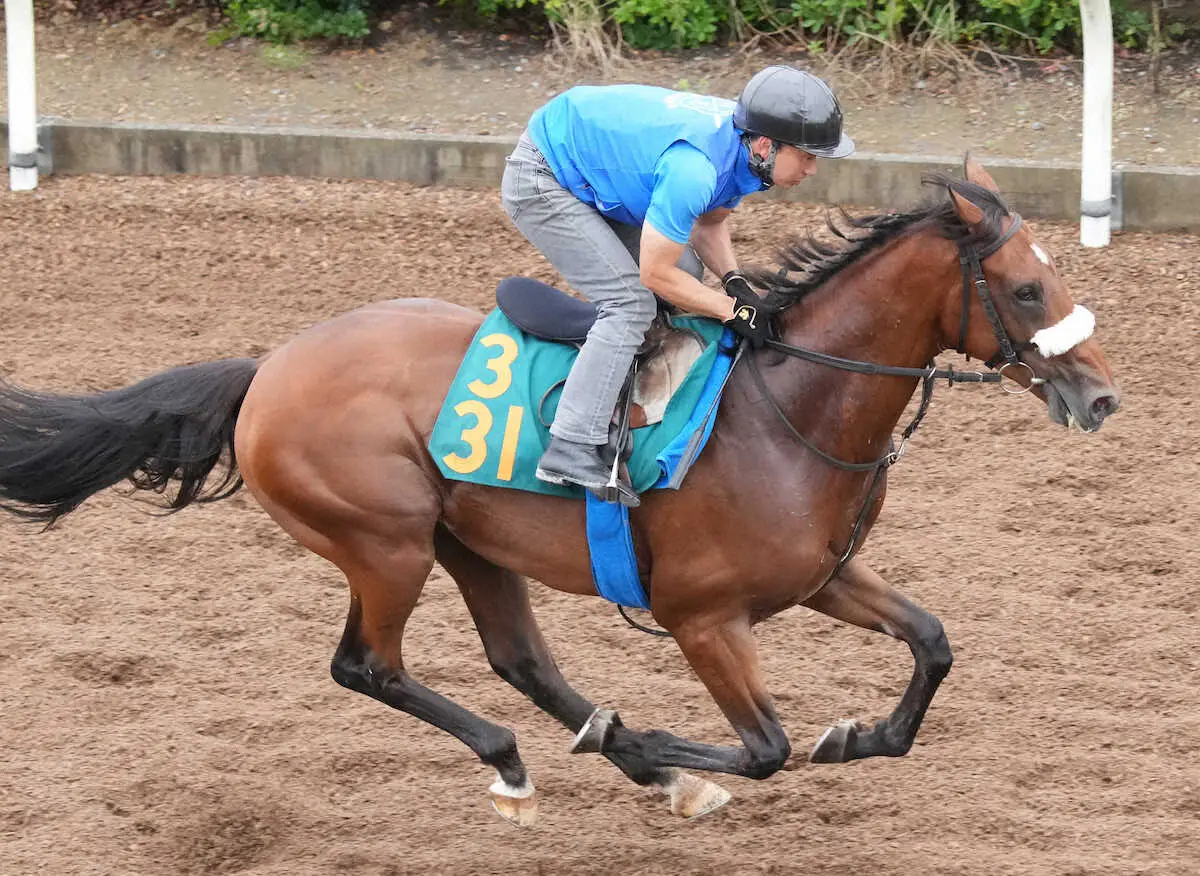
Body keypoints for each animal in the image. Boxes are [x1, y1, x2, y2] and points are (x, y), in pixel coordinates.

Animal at [2, 158, 1113, 825]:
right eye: (1025, 289)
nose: (1100, 396)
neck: (785, 409)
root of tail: (267, 368)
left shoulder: (821, 577)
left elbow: (931, 643)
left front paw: (858, 738)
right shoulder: (701, 616)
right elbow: (764, 747)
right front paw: (654, 737)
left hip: (470, 543)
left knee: (519, 659)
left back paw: (616, 758)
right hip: (386, 542)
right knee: (368, 666)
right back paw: (541, 756)